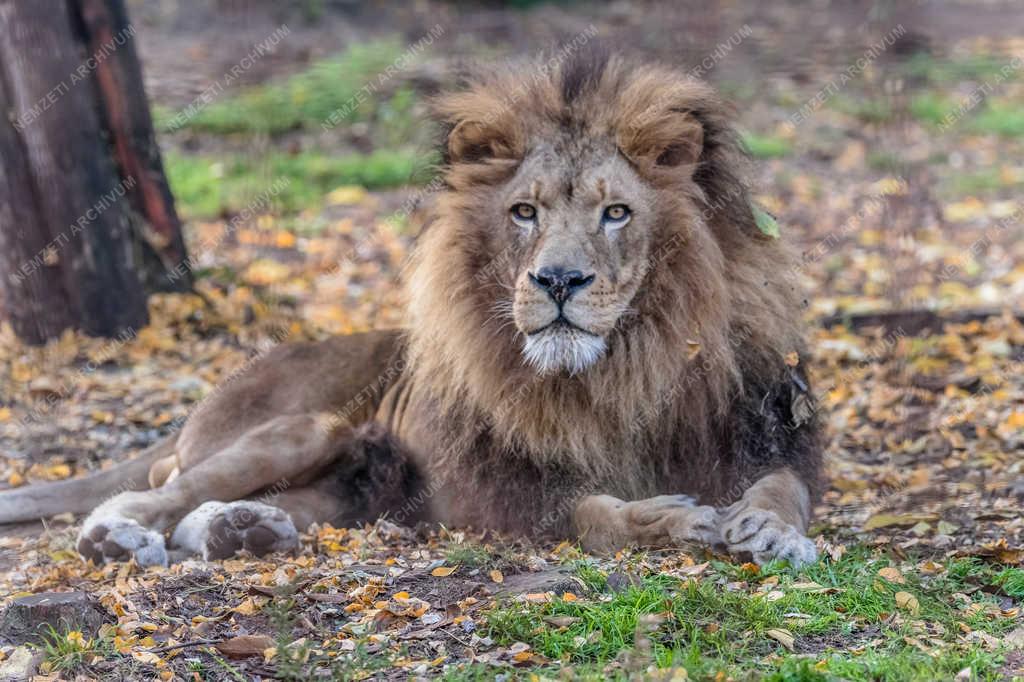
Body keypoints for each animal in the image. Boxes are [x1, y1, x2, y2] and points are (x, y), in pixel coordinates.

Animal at [0, 53, 823, 565]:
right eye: (524, 211)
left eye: (616, 213)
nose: (557, 280)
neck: (623, 366)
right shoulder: (487, 490)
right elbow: (591, 513)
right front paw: (669, 518)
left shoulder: (764, 432)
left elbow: (785, 486)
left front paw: (770, 529)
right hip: (308, 426)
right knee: (156, 492)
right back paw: (119, 538)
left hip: (356, 478)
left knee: (210, 512)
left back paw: (244, 531)